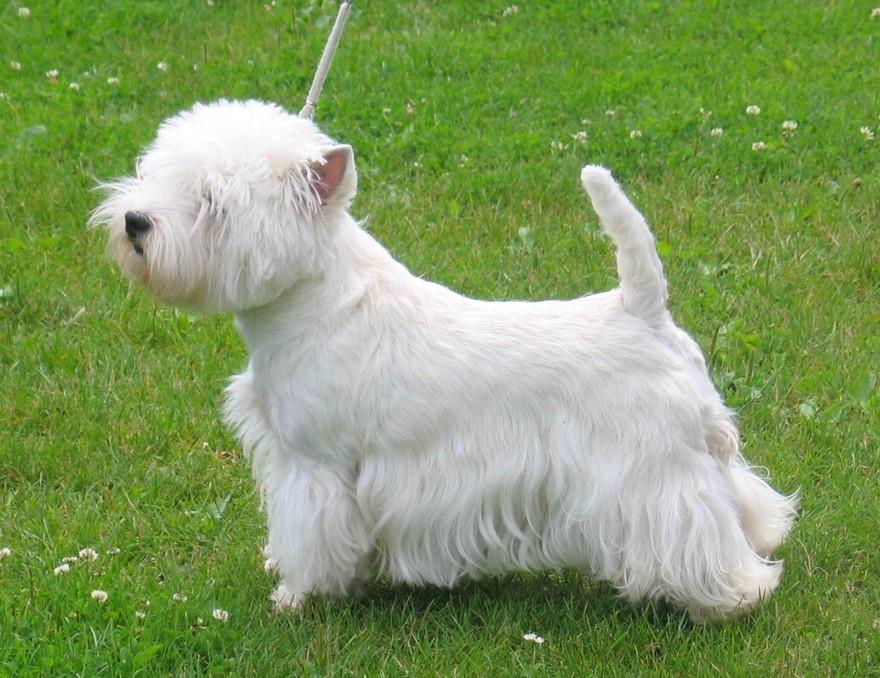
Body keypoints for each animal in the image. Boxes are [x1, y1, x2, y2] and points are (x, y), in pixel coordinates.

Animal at [94, 98, 796, 624]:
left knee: (695, 533)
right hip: (700, 446)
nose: (135, 222)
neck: (313, 300)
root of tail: (641, 310)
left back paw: (733, 595)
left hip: (653, 470)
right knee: (741, 496)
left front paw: (297, 595)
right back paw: (764, 538)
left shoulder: (315, 465)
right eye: (158, 173)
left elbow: (313, 533)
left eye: (212, 202)